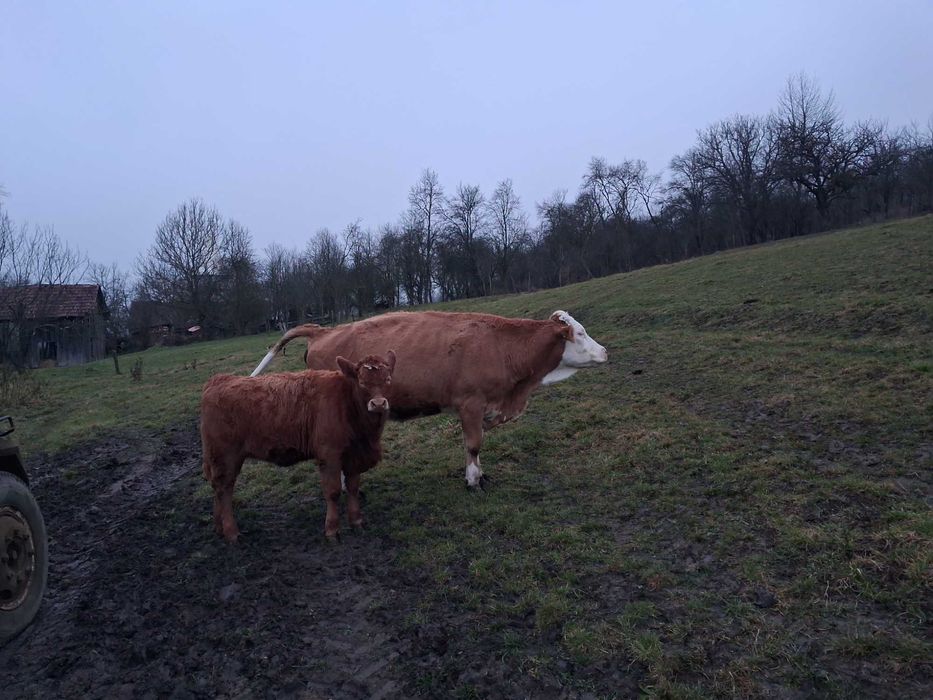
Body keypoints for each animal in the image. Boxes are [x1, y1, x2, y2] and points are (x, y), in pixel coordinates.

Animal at [200, 351, 396, 543]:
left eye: (387, 379)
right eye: (362, 382)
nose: (378, 403)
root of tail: (219, 380)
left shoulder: (354, 456)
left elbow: (353, 488)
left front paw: (356, 522)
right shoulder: (329, 455)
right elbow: (333, 491)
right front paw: (332, 530)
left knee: (218, 489)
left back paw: (219, 527)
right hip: (226, 457)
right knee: (224, 489)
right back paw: (231, 531)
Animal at [250, 310, 608, 487]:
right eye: (580, 333)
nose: (604, 351)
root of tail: (323, 331)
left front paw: (480, 474)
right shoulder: (471, 404)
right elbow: (473, 445)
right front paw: (473, 480)